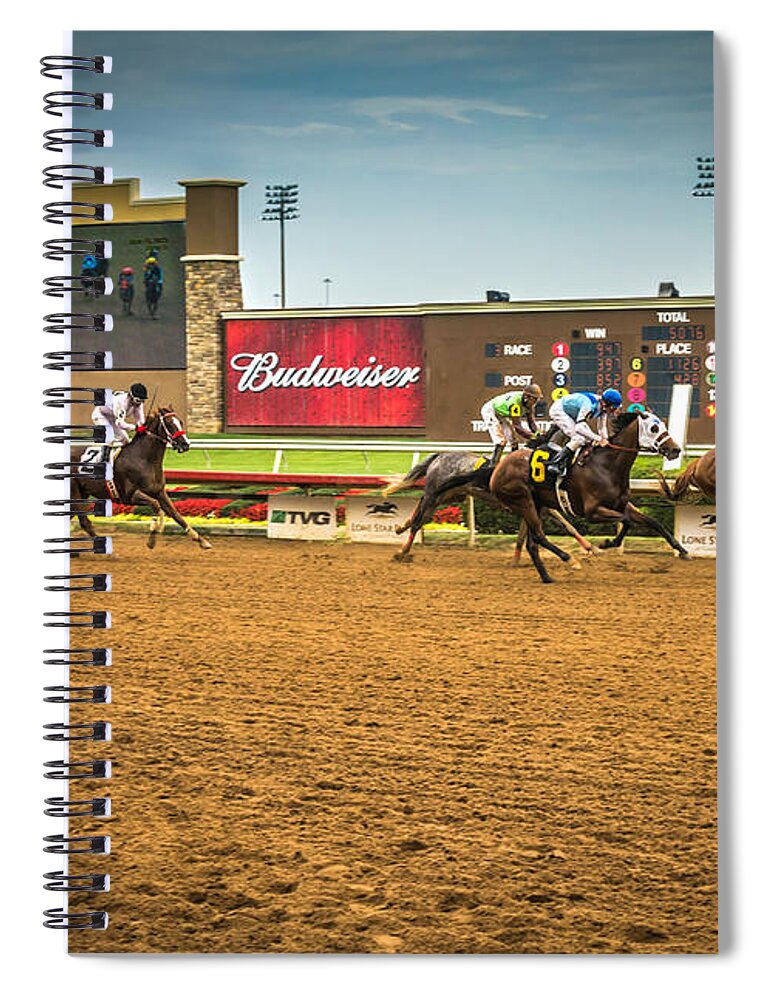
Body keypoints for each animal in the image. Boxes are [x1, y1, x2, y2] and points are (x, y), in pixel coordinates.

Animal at [71, 404, 212, 552]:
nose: (185, 444)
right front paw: (153, 537)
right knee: (84, 522)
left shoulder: (159, 492)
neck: (144, 459)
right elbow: (156, 506)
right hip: (75, 493)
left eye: (180, 422)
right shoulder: (129, 496)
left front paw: (201, 540)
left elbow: (176, 514)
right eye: (169, 423)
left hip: (83, 493)